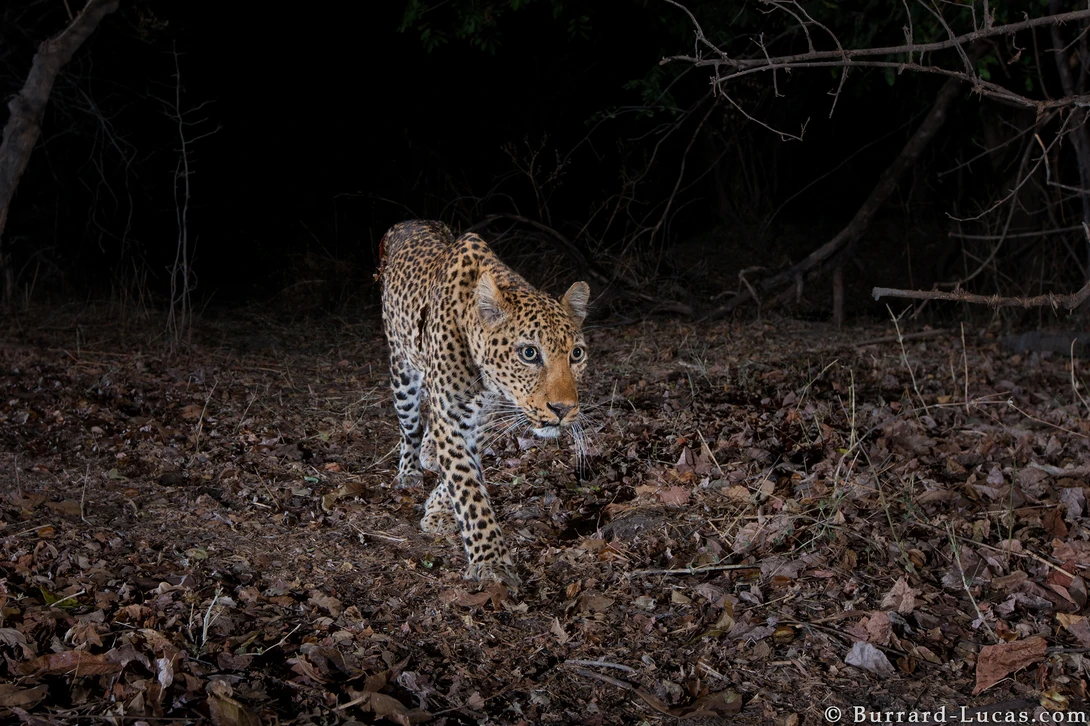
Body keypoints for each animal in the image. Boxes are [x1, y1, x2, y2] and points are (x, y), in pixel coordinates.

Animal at [379, 220, 590, 587]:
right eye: (529, 353)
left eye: (576, 354)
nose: (563, 410)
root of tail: (405, 223)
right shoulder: (452, 418)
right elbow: (467, 487)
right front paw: (491, 561)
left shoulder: (487, 417)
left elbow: (462, 473)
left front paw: (438, 508)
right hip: (401, 371)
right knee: (410, 426)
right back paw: (409, 471)